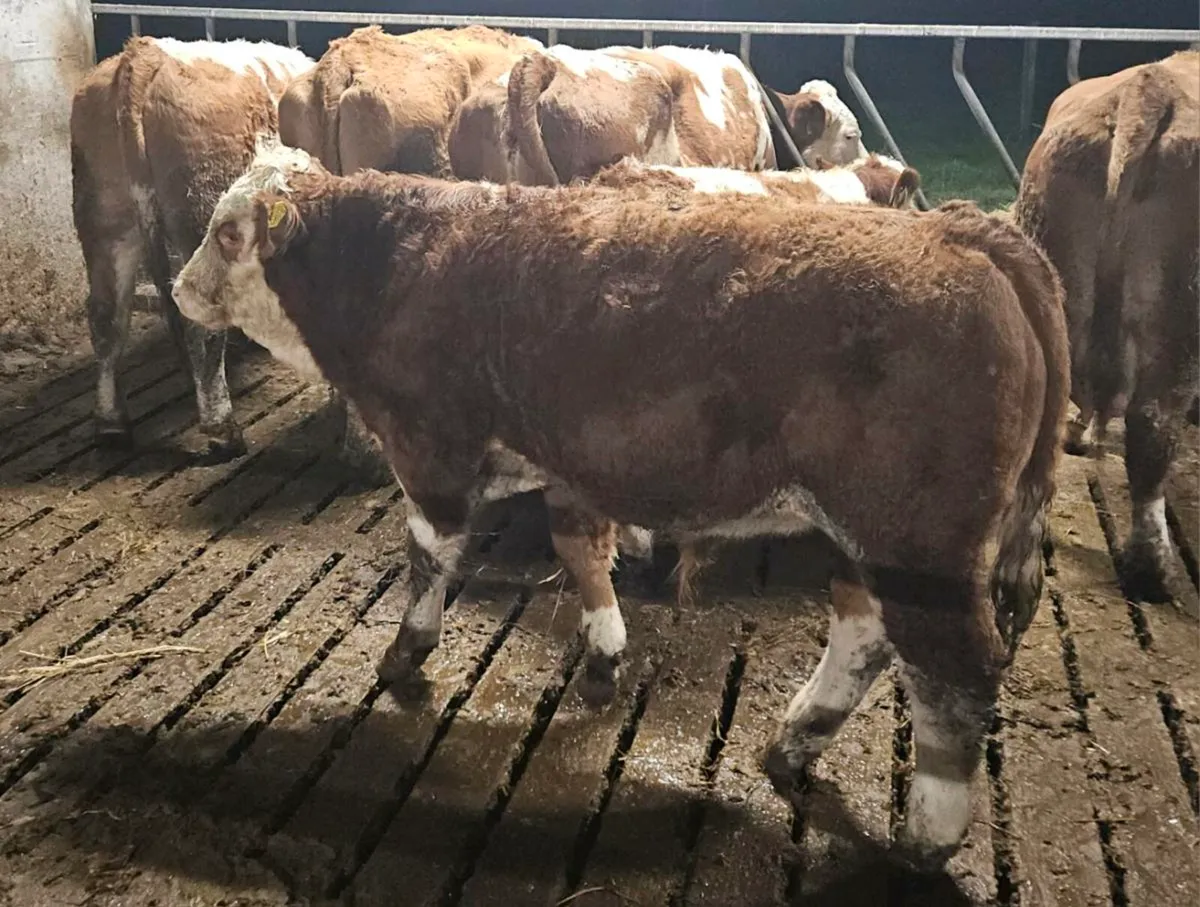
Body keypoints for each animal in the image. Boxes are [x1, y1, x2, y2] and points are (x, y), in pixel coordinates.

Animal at [70, 36, 313, 457]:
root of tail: (146, 52)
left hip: (104, 220)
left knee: (106, 316)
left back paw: (111, 424)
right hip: (201, 211)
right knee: (198, 323)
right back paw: (222, 429)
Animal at [172, 138, 1069, 871]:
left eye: (227, 232)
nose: (180, 289)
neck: (406, 262)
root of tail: (963, 235)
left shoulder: (430, 450)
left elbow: (427, 556)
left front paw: (405, 653)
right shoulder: (570, 462)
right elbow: (579, 552)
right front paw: (604, 655)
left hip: (919, 547)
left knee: (952, 679)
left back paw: (926, 837)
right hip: (873, 542)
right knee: (866, 634)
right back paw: (793, 743)